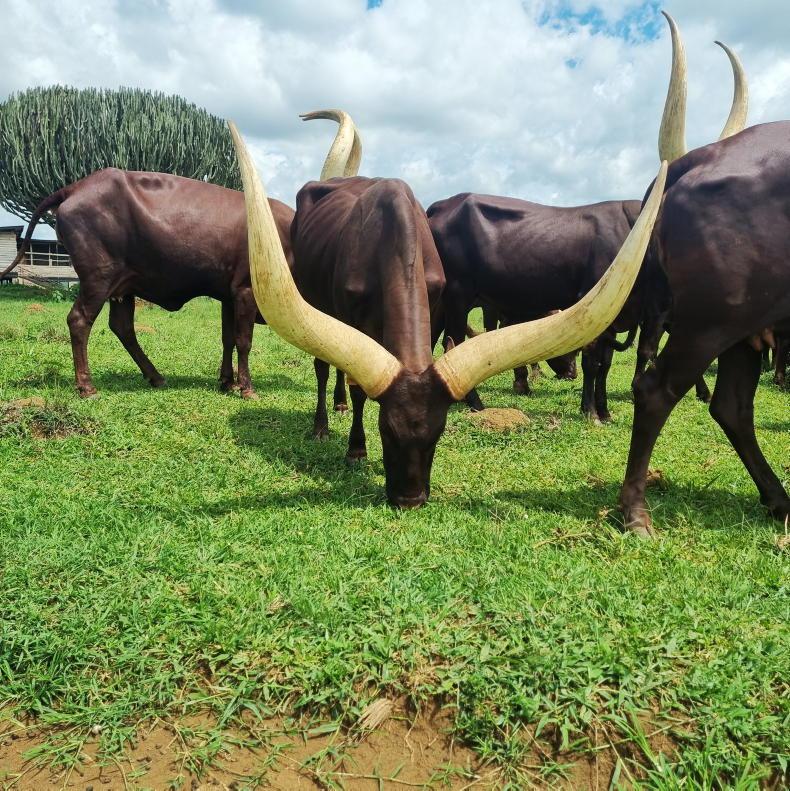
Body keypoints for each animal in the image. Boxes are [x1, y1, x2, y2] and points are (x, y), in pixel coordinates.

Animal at [1, 153, 301, 399]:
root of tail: (76, 186)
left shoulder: (228, 294)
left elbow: (227, 338)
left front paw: (227, 382)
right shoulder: (246, 291)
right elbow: (244, 341)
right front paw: (246, 388)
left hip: (122, 287)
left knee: (122, 327)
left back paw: (155, 376)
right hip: (98, 279)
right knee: (79, 320)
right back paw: (87, 386)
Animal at [229, 118, 667, 508]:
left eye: (438, 433)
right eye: (387, 430)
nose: (410, 500)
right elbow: (359, 391)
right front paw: (355, 448)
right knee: (324, 367)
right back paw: (323, 422)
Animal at [427, 30, 746, 423]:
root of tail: (444, 204)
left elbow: (607, 363)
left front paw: (604, 411)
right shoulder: (599, 309)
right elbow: (595, 361)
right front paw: (591, 410)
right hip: (458, 295)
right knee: (452, 339)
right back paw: (475, 402)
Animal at [619, 14, 790, 538]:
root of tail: (706, 155)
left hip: (739, 327)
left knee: (730, 407)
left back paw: (779, 500)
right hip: (712, 320)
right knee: (656, 391)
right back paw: (635, 513)